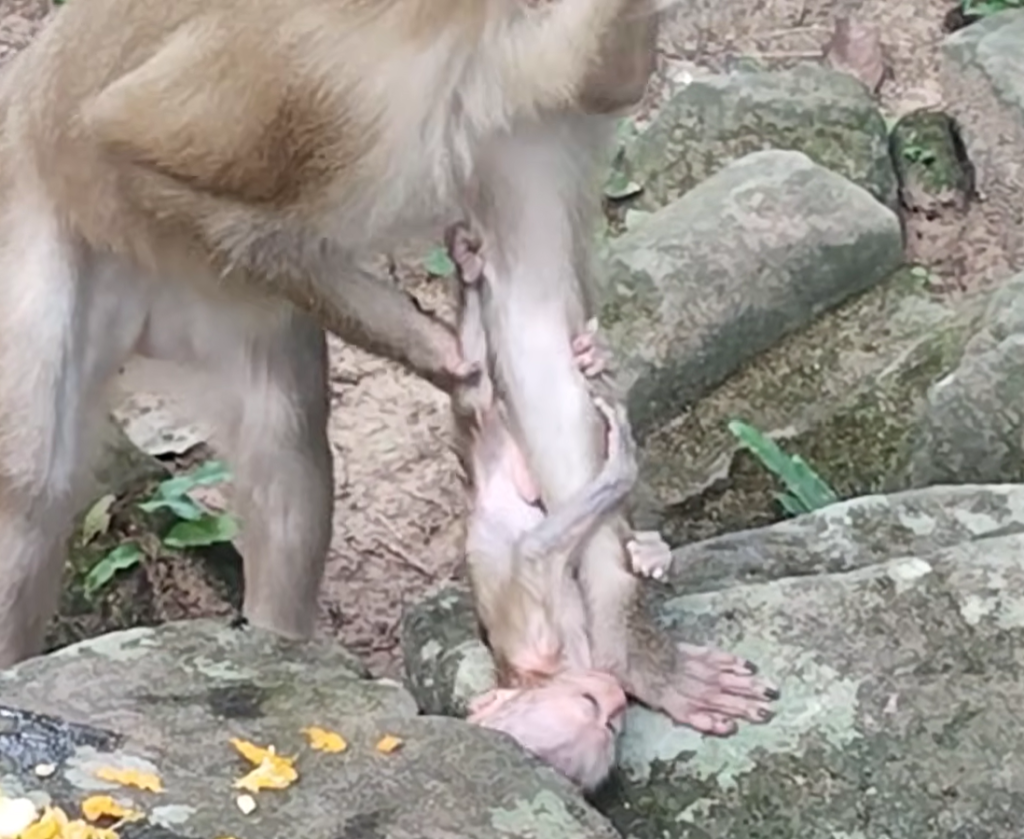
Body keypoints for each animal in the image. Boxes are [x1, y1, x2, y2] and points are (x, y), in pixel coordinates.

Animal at [0, 0, 668, 669]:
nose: (633, 76)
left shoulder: (522, 115)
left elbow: (534, 325)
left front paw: (619, 616)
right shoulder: (327, 80)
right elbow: (127, 147)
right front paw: (435, 350)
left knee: (287, 444)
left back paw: (277, 647)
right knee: (29, 488)